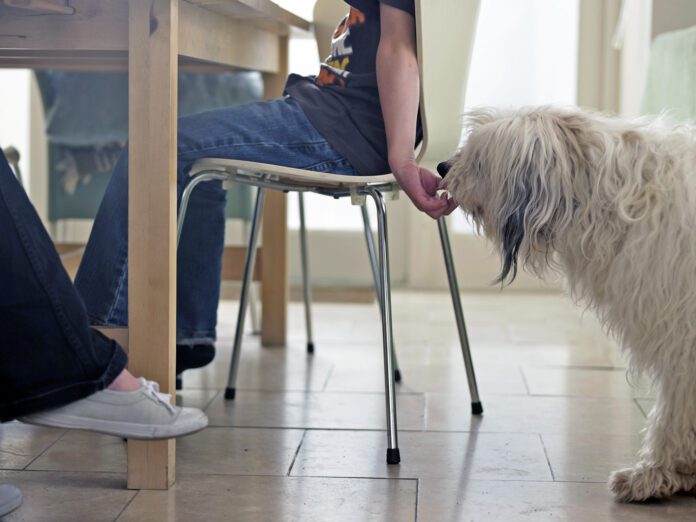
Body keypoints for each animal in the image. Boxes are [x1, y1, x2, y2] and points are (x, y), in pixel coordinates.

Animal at [444, 105, 696, 500]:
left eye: (479, 158)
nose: (441, 167)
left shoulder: (683, 335)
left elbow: (676, 406)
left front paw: (656, 472)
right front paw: (672, 472)